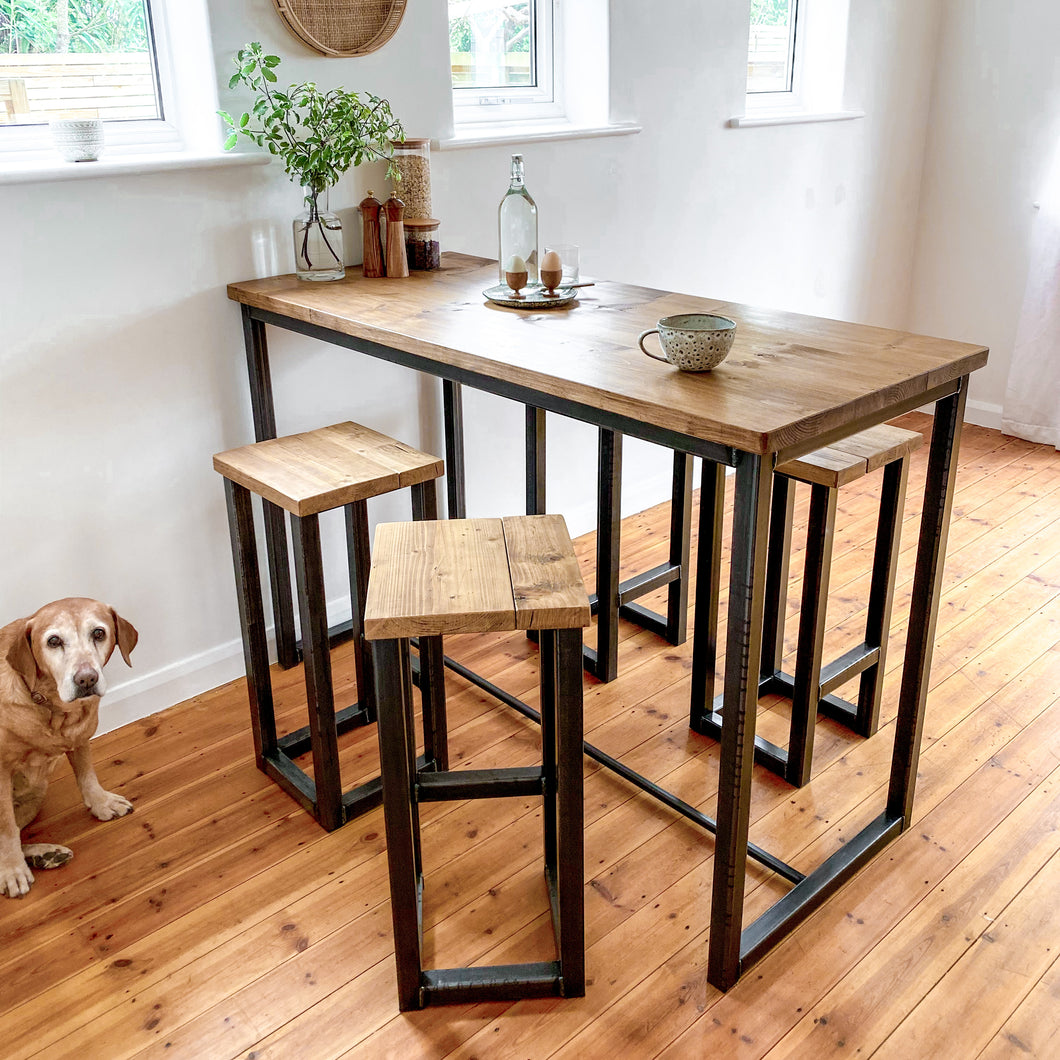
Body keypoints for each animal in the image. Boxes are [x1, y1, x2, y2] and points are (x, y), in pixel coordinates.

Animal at [0, 597, 137, 894]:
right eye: (53, 641)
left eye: (98, 633)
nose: (86, 679)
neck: (50, 704)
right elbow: (6, 828)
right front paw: (12, 869)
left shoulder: (79, 737)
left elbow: (87, 775)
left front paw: (101, 803)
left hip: (35, 796)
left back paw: (44, 855)